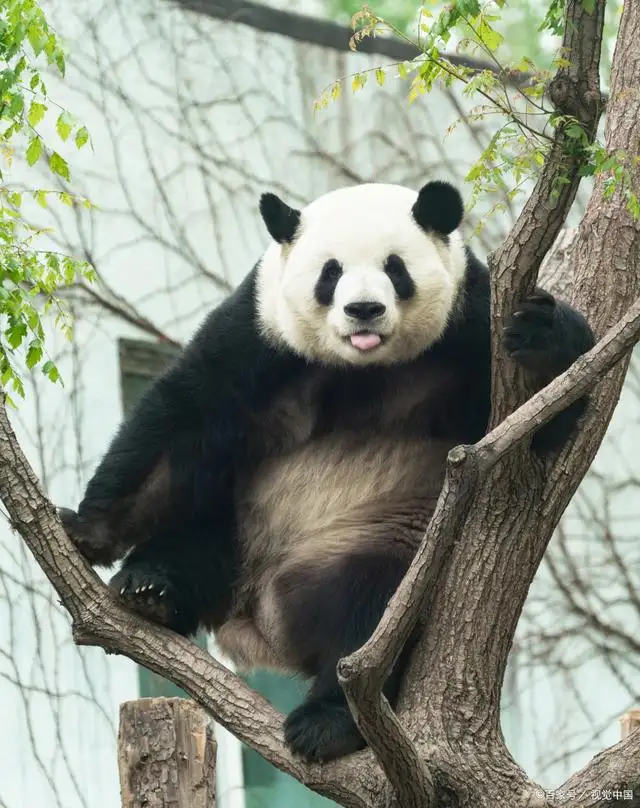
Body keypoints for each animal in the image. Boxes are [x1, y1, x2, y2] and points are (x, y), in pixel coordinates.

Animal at [60, 181, 596, 764]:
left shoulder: (471, 327)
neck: (363, 368)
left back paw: (327, 720)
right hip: (239, 513)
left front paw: (544, 337)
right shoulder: (259, 332)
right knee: (195, 535)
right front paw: (87, 530)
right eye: (330, 272)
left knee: (367, 612)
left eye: (394, 268)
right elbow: (184, 419)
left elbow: (542, 421)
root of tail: (257, 620)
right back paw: (152, 589)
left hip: (378, 535)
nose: (364, 310)